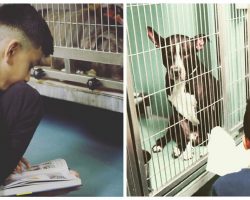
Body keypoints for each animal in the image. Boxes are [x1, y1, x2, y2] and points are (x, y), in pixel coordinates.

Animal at [146, 26, 221, 160]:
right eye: (168, 54)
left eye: (186, 54)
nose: (176, 71)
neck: (181, 84)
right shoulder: (178, 114)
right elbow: (185, 134)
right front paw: (186, 151)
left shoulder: (207, 109)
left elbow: (209, 131)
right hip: (172, 119)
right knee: (172, 135)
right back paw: (165, 145)